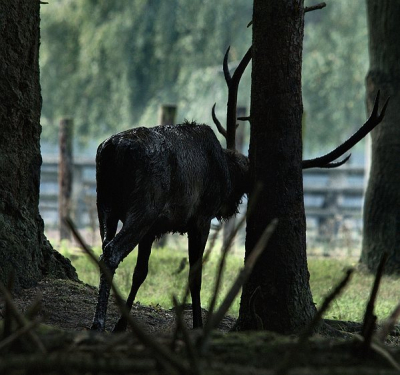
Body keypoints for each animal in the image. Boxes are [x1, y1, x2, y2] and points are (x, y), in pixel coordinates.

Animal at [91, 46, 388, 332]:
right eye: (247, 183)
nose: (232, 207)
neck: (226, 171)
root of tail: (112, 150)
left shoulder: (155, 229)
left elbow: (141, 272)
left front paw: (122, 325)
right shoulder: (199, 217)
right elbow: (195, 276)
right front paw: (198, 325)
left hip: (104, 203)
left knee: (103, 247)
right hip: (144, 207)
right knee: (112, 251)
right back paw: (97, 323)